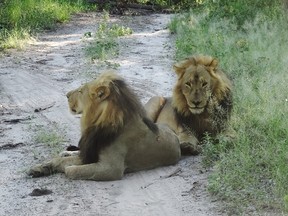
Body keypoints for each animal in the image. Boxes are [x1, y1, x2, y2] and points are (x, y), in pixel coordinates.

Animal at [27, 71, 180, 181]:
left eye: (81, 91)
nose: (66, 95)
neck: (97, 123)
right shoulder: (91, 152)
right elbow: (60, 160)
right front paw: (40, 168)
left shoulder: (111, 169)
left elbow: (71, 169)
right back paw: (66, 152)